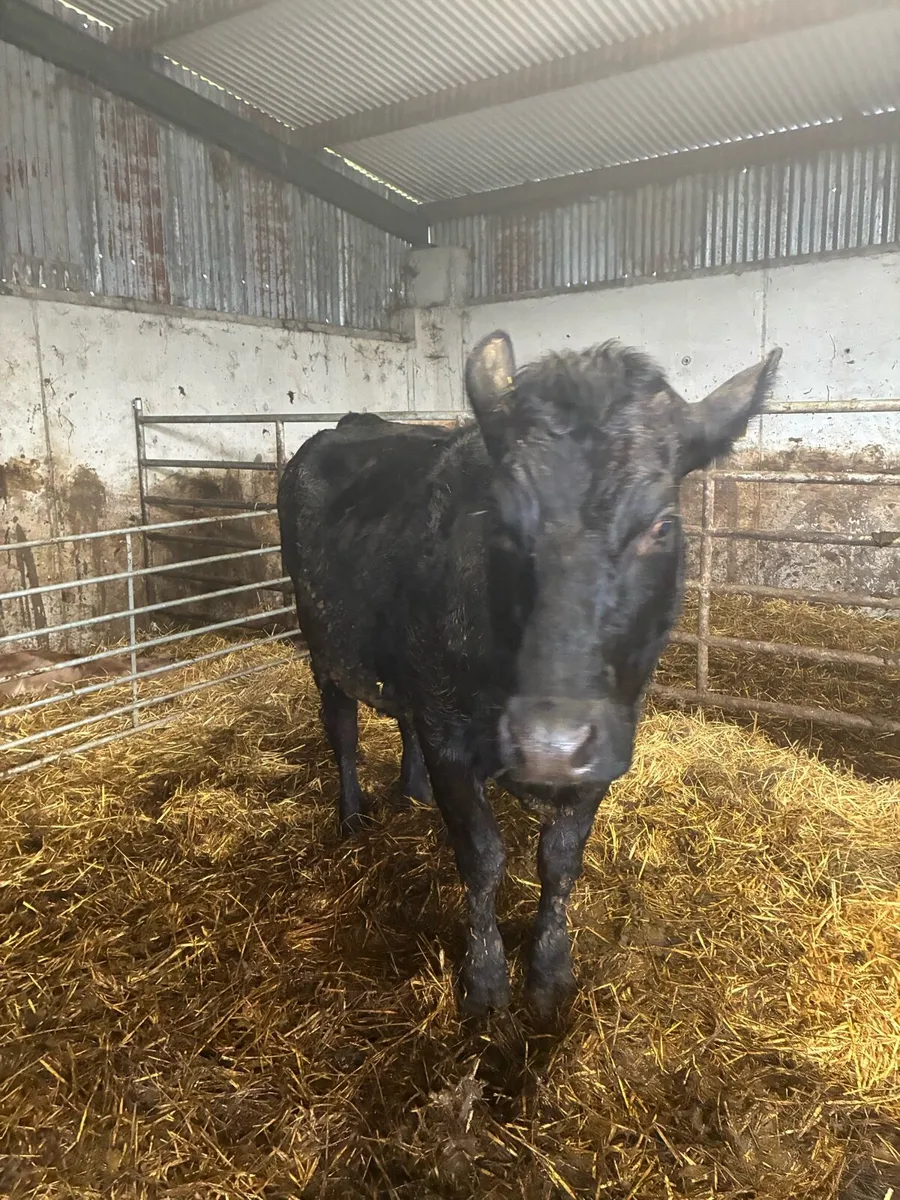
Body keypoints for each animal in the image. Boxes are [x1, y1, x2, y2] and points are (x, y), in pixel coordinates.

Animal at [277, 332, 781, 1016]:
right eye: (500, 519)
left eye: (663, 525)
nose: (550, 744)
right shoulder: (450, 738)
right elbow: (482, 859)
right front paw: (487, 980)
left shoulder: (605, 744)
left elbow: (560, 862)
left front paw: (550, 970)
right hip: (322, 643)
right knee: (344, 732)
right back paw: (352, 816)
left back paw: (412, 790)